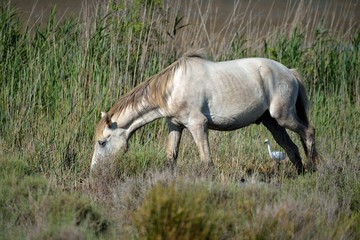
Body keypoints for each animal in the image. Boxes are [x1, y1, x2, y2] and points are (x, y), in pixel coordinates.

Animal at [91, 51, 316, 174]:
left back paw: (313, 168)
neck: (173, 87)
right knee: (291, 147)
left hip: (283, 117)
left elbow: (207, 161)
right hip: (272, 122)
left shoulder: (198, 125)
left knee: (308, 132)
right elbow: (171, 157)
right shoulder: (175, 125)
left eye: (102, 142)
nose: (94, 171)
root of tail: (290, 72)